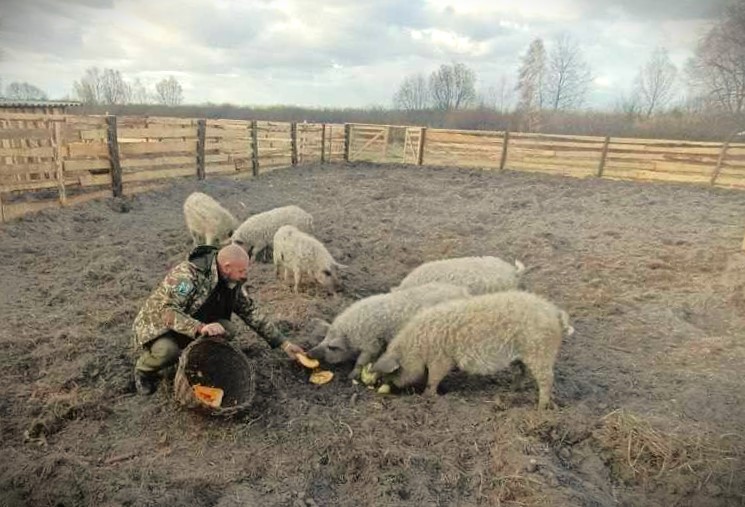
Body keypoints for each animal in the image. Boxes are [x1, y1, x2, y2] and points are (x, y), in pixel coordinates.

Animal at [306, 284, 468, 380]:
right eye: (323, 340)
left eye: (331, 347)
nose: (309, 353)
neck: (352, 335)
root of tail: (464, 292)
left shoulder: (371, 344)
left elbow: (361, 361)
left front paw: (351, 377)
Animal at [370, 292, 568, 410]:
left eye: (394, 373)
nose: (389, 389)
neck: (417, 346)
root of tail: (555, 312)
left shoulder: (442, 358)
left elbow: (433, 379)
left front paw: (428, 397)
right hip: (524, 355)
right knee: (523, 372)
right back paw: (513, 389)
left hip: (540, 352)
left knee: (547, 379)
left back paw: (540, 407)